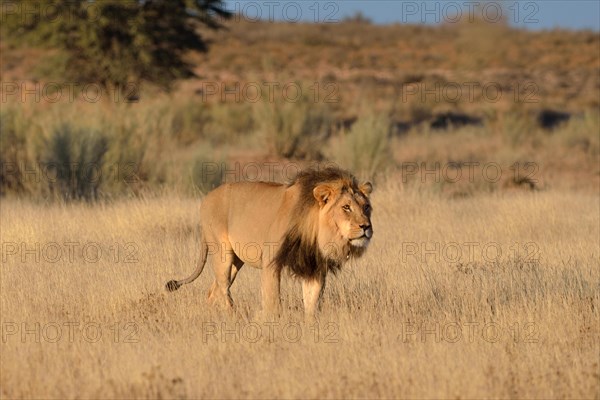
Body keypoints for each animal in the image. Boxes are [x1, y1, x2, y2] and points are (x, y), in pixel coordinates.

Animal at [164, 165, 370, 318]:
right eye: (346, 207)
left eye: (366, 207)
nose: (366, 226)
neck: (316, 233)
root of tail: (206, 197)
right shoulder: (271, 260)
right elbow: (273, 301)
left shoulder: (313, 266)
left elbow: (312, 302)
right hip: (222, 253)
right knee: (223, 288)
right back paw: (234, 315)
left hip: (236, 261)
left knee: (214, 291)